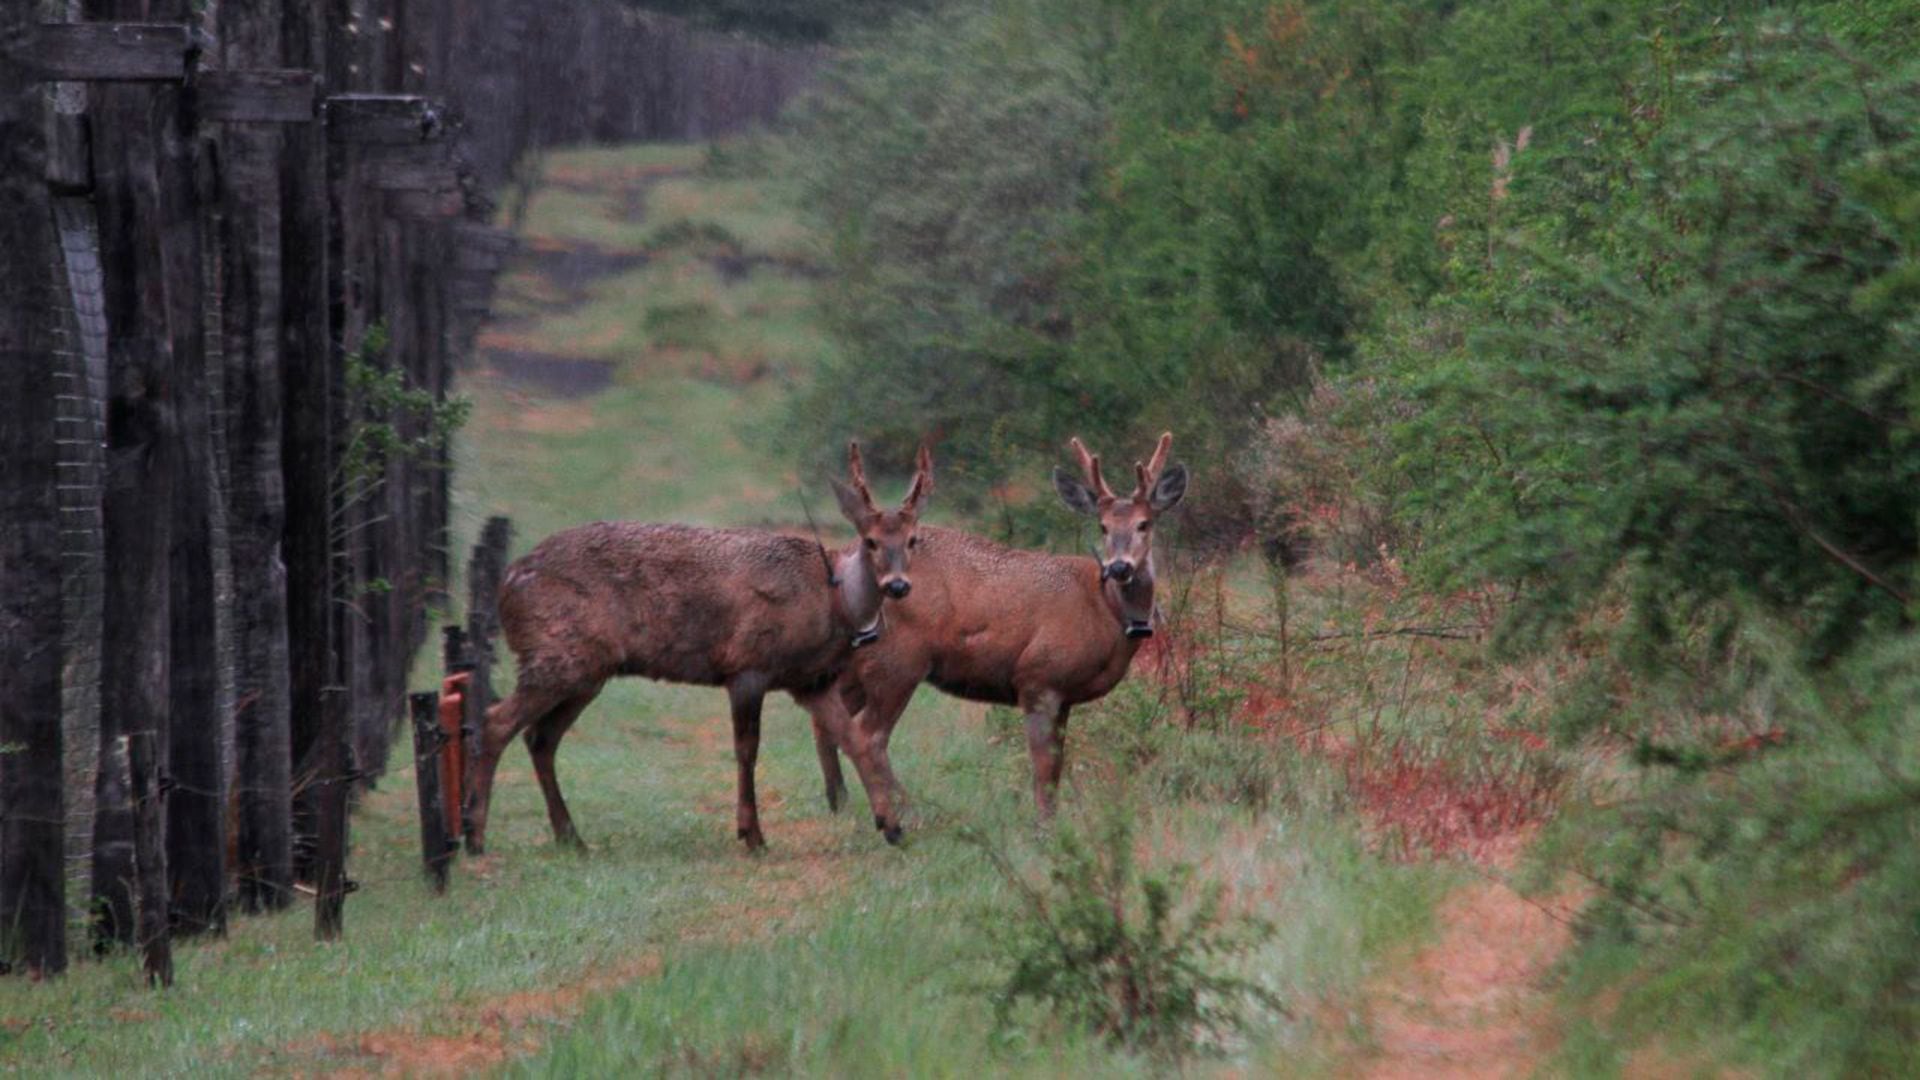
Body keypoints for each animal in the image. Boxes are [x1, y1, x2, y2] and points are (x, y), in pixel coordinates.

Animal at [472, 441, 936, 853]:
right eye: (870, 540)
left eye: (912, 539)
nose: (898, 585)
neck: (831, 598)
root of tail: (507, 584)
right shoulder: (747, 665)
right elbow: (747, 750)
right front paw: (752, 836)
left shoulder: (811, 682)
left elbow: (854, 740)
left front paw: (892, 826)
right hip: (556, 653)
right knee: (496, 722)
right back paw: (474, 839)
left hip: (587, 671)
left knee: (540, 737)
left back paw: (571, 838)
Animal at [821, 428, 1182, 834]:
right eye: (1103, 526)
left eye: (1144, 523)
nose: (1120, 567)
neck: (1106, 609)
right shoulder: (1038, 677)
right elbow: (1043, 766)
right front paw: (1044, 827)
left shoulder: (1065, 696)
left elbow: (1057, 765)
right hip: (897, 662)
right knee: (868, 735)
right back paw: (908, 814)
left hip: (855, 667)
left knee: (828, 723)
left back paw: (841, 803)